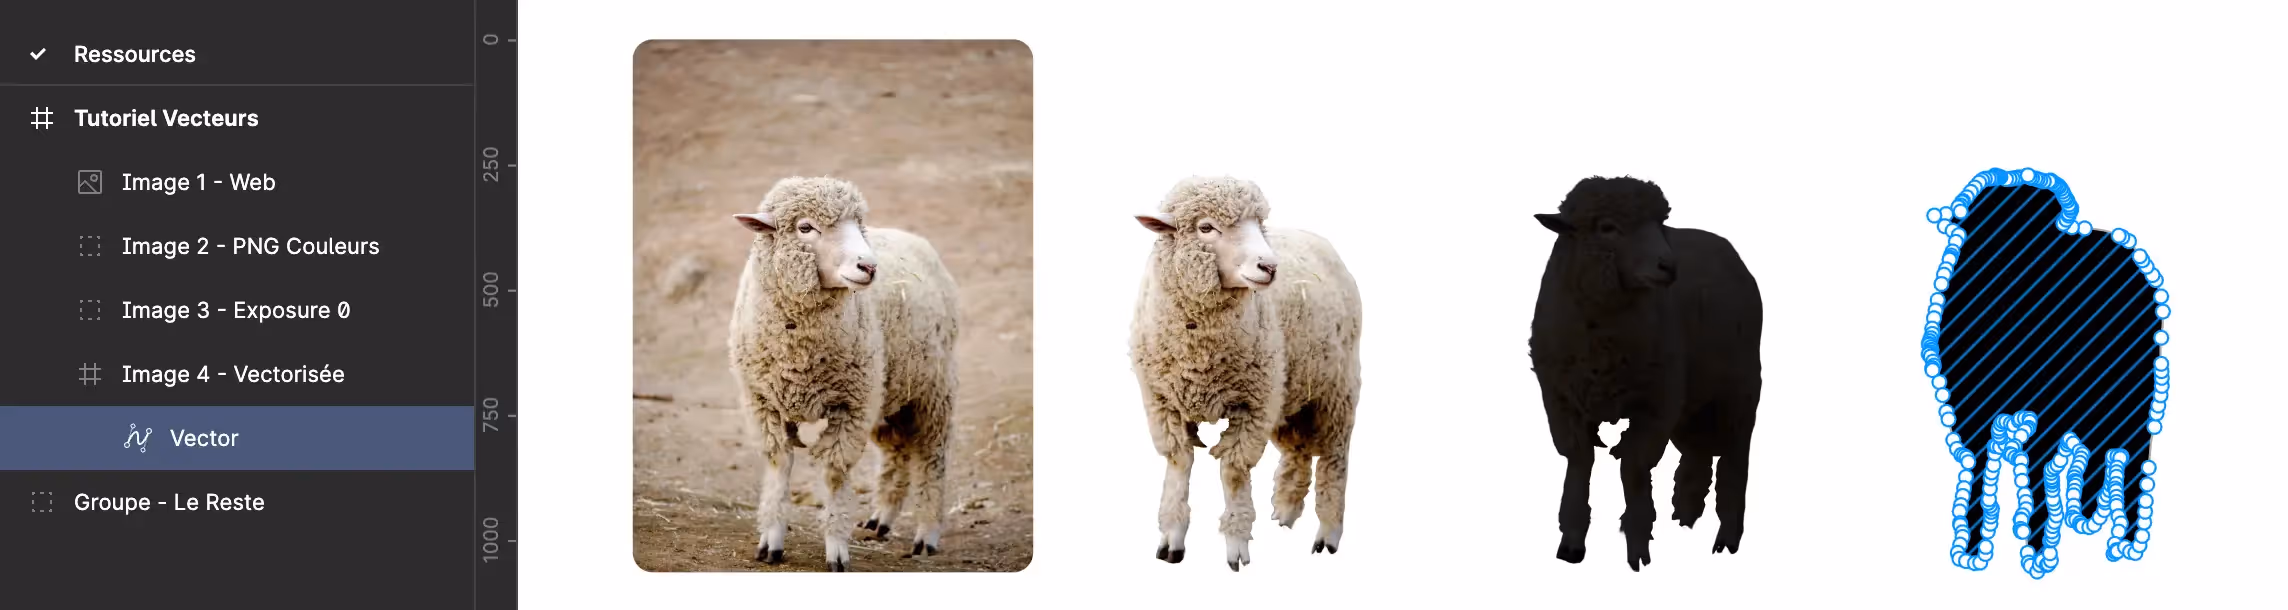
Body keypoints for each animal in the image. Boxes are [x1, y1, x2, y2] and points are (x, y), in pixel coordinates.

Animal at [727, 176, 959, 572]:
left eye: (857, 225)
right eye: (805, 227)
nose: (869, 266)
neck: (799, 354)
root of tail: (914, 238)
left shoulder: (851, 407)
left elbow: (835, 475)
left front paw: (836, 549)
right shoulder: (763, 403)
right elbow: (778, 465)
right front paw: (770, 541)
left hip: (932, 391)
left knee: (931, 457)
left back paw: (926, 534)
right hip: (889, 391)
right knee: (897, 451)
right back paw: (881, 519)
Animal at [1129, 176, 1362, 572]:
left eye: (1259, 224)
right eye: (1206, 227)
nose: (1269, 266)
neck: (1200, 355)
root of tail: (1317, 237)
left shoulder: (1253, 407)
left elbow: (1233, 472)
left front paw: (1236, 545)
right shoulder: (1164, 404)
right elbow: (1179, 463)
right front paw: (1171, 540)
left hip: (1337, 390)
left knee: (1334, 458)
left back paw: (1328, 533)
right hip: (1290, 392)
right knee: (1299, 451)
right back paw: (1285, 510)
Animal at [1528, 176, 1763, 572]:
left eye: (1660, 225)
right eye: (1607, 227)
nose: (1668, 266)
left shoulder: (1655, 405)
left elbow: (1634, 470)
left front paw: (1637, 547)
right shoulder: (1562, 401)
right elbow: (1579, 462)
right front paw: (1571, 543)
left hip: (1740, 389)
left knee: (1735, 460)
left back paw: (1726, 538)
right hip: (1690, 400)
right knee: (1698, 452)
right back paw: (1686, 514)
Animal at [1920, 168, 2168, 578]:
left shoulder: (2044, 415)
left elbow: (2036, 476)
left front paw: (2036, 546)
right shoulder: (1972, 415)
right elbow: (1978, 475)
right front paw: (1972, 546)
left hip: (2131, 395)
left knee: (2133, 456)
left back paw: (2126, 539)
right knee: (2096, 448)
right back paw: (2086, 511)